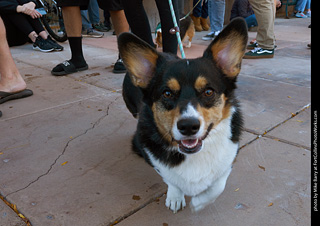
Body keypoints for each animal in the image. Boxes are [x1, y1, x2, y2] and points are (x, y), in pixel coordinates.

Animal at [119, 18, 249, 214]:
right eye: (167, 93)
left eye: (208, 92)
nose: (188, 126)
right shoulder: (156, 161)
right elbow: (171, 179)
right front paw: (175, 197)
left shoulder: (228, 161)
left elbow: (218, 185)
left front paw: (199, 202)